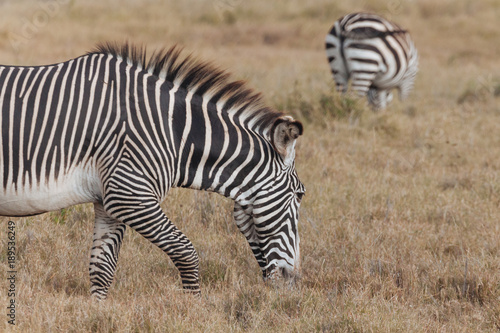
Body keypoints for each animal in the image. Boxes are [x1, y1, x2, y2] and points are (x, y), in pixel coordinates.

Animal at [0, 41, 304, 298]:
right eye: (300, 195)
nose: (292, 282)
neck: (172, 132)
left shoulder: (108, 201)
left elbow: (102, 269)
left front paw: (96, 314)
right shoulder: (128, 194)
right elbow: (186, 251)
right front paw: (193, 307)